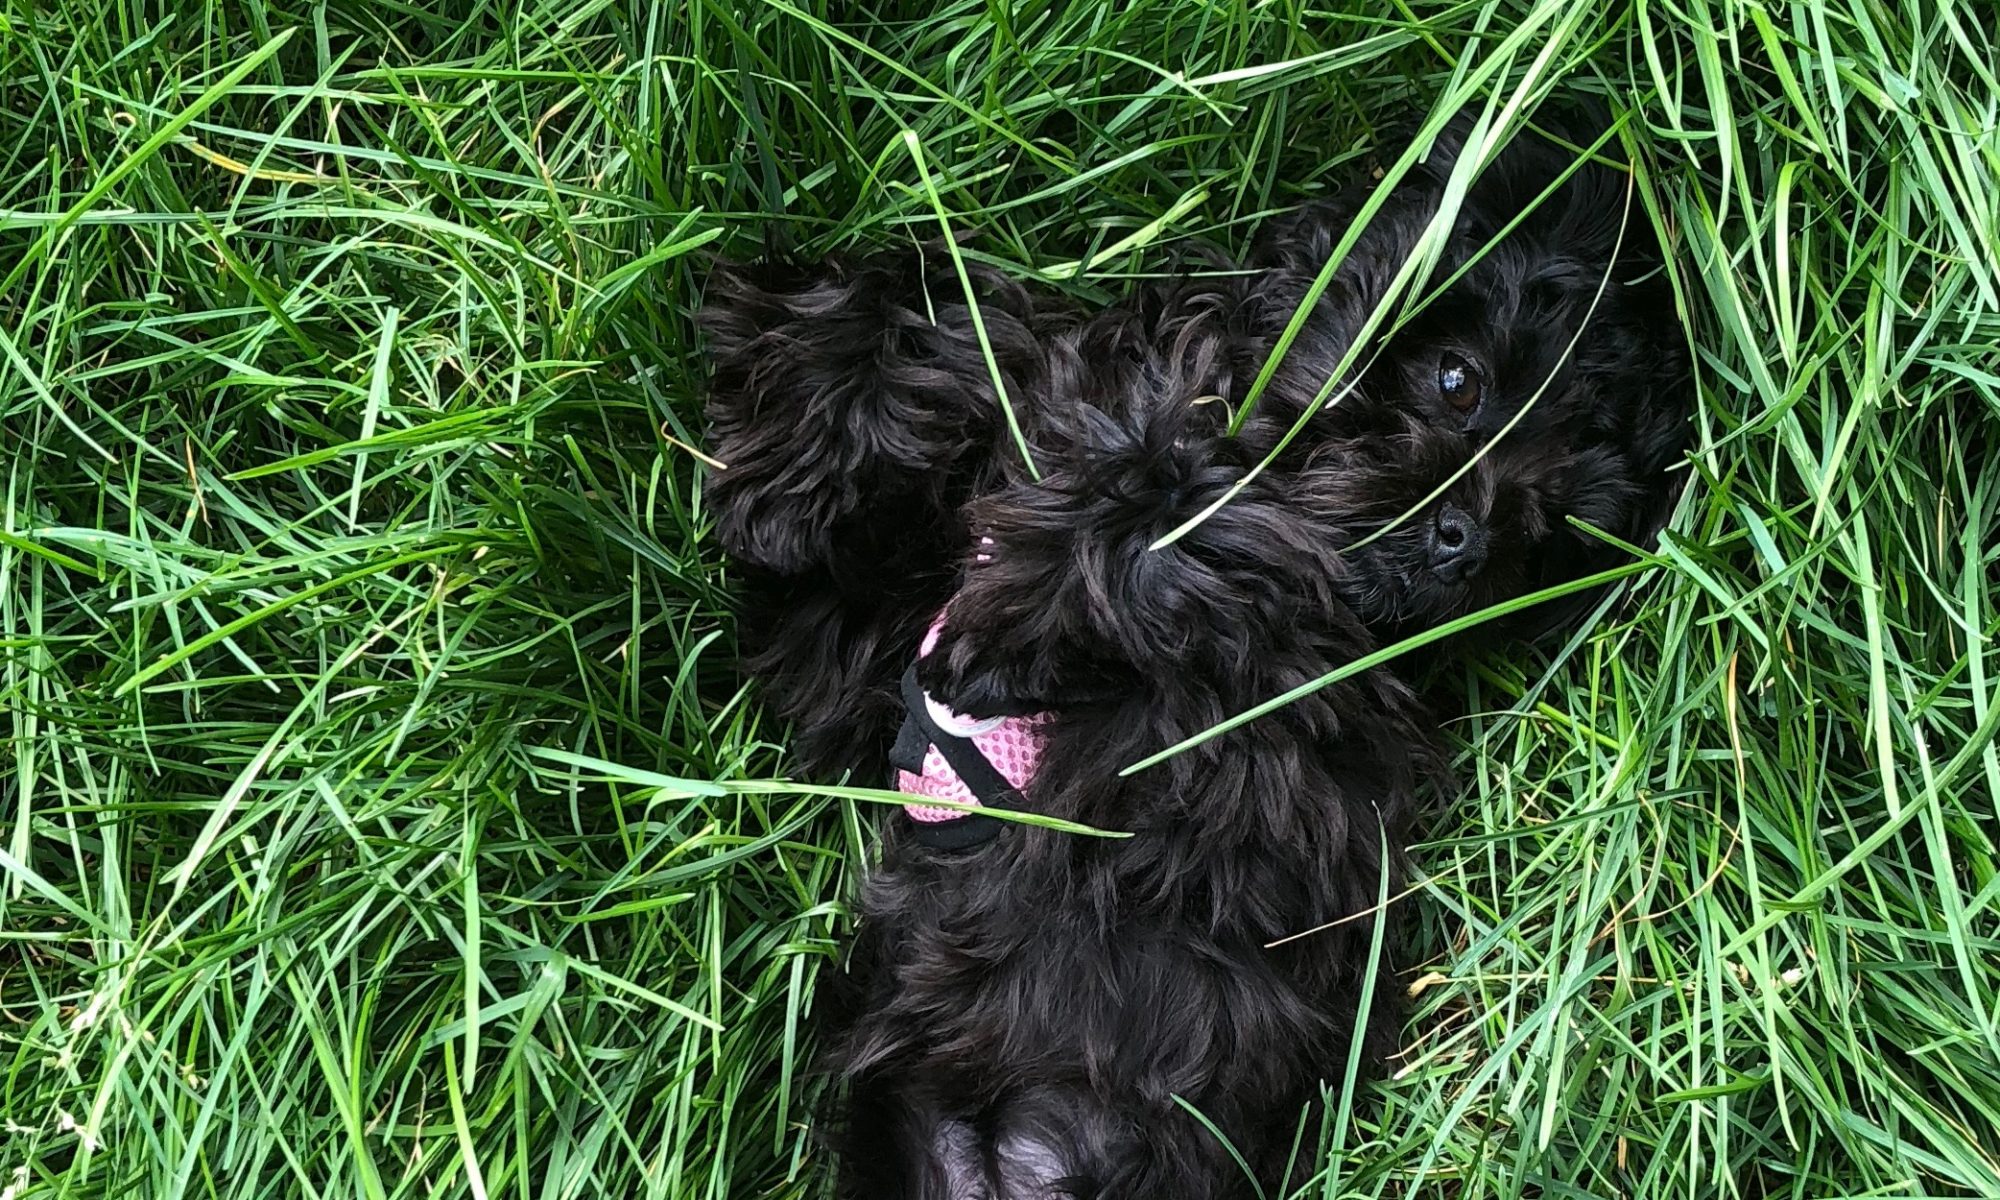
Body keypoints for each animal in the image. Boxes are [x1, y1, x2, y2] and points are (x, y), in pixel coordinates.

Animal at [700, 117, 1688, 1192]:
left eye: (1546, 535)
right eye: (1457, 378)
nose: (1468, 542)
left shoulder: (1275, 690)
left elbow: (1183, 505)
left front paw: (1033, 603)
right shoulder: (852, 646)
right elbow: (930, 318)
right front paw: (785, 438)